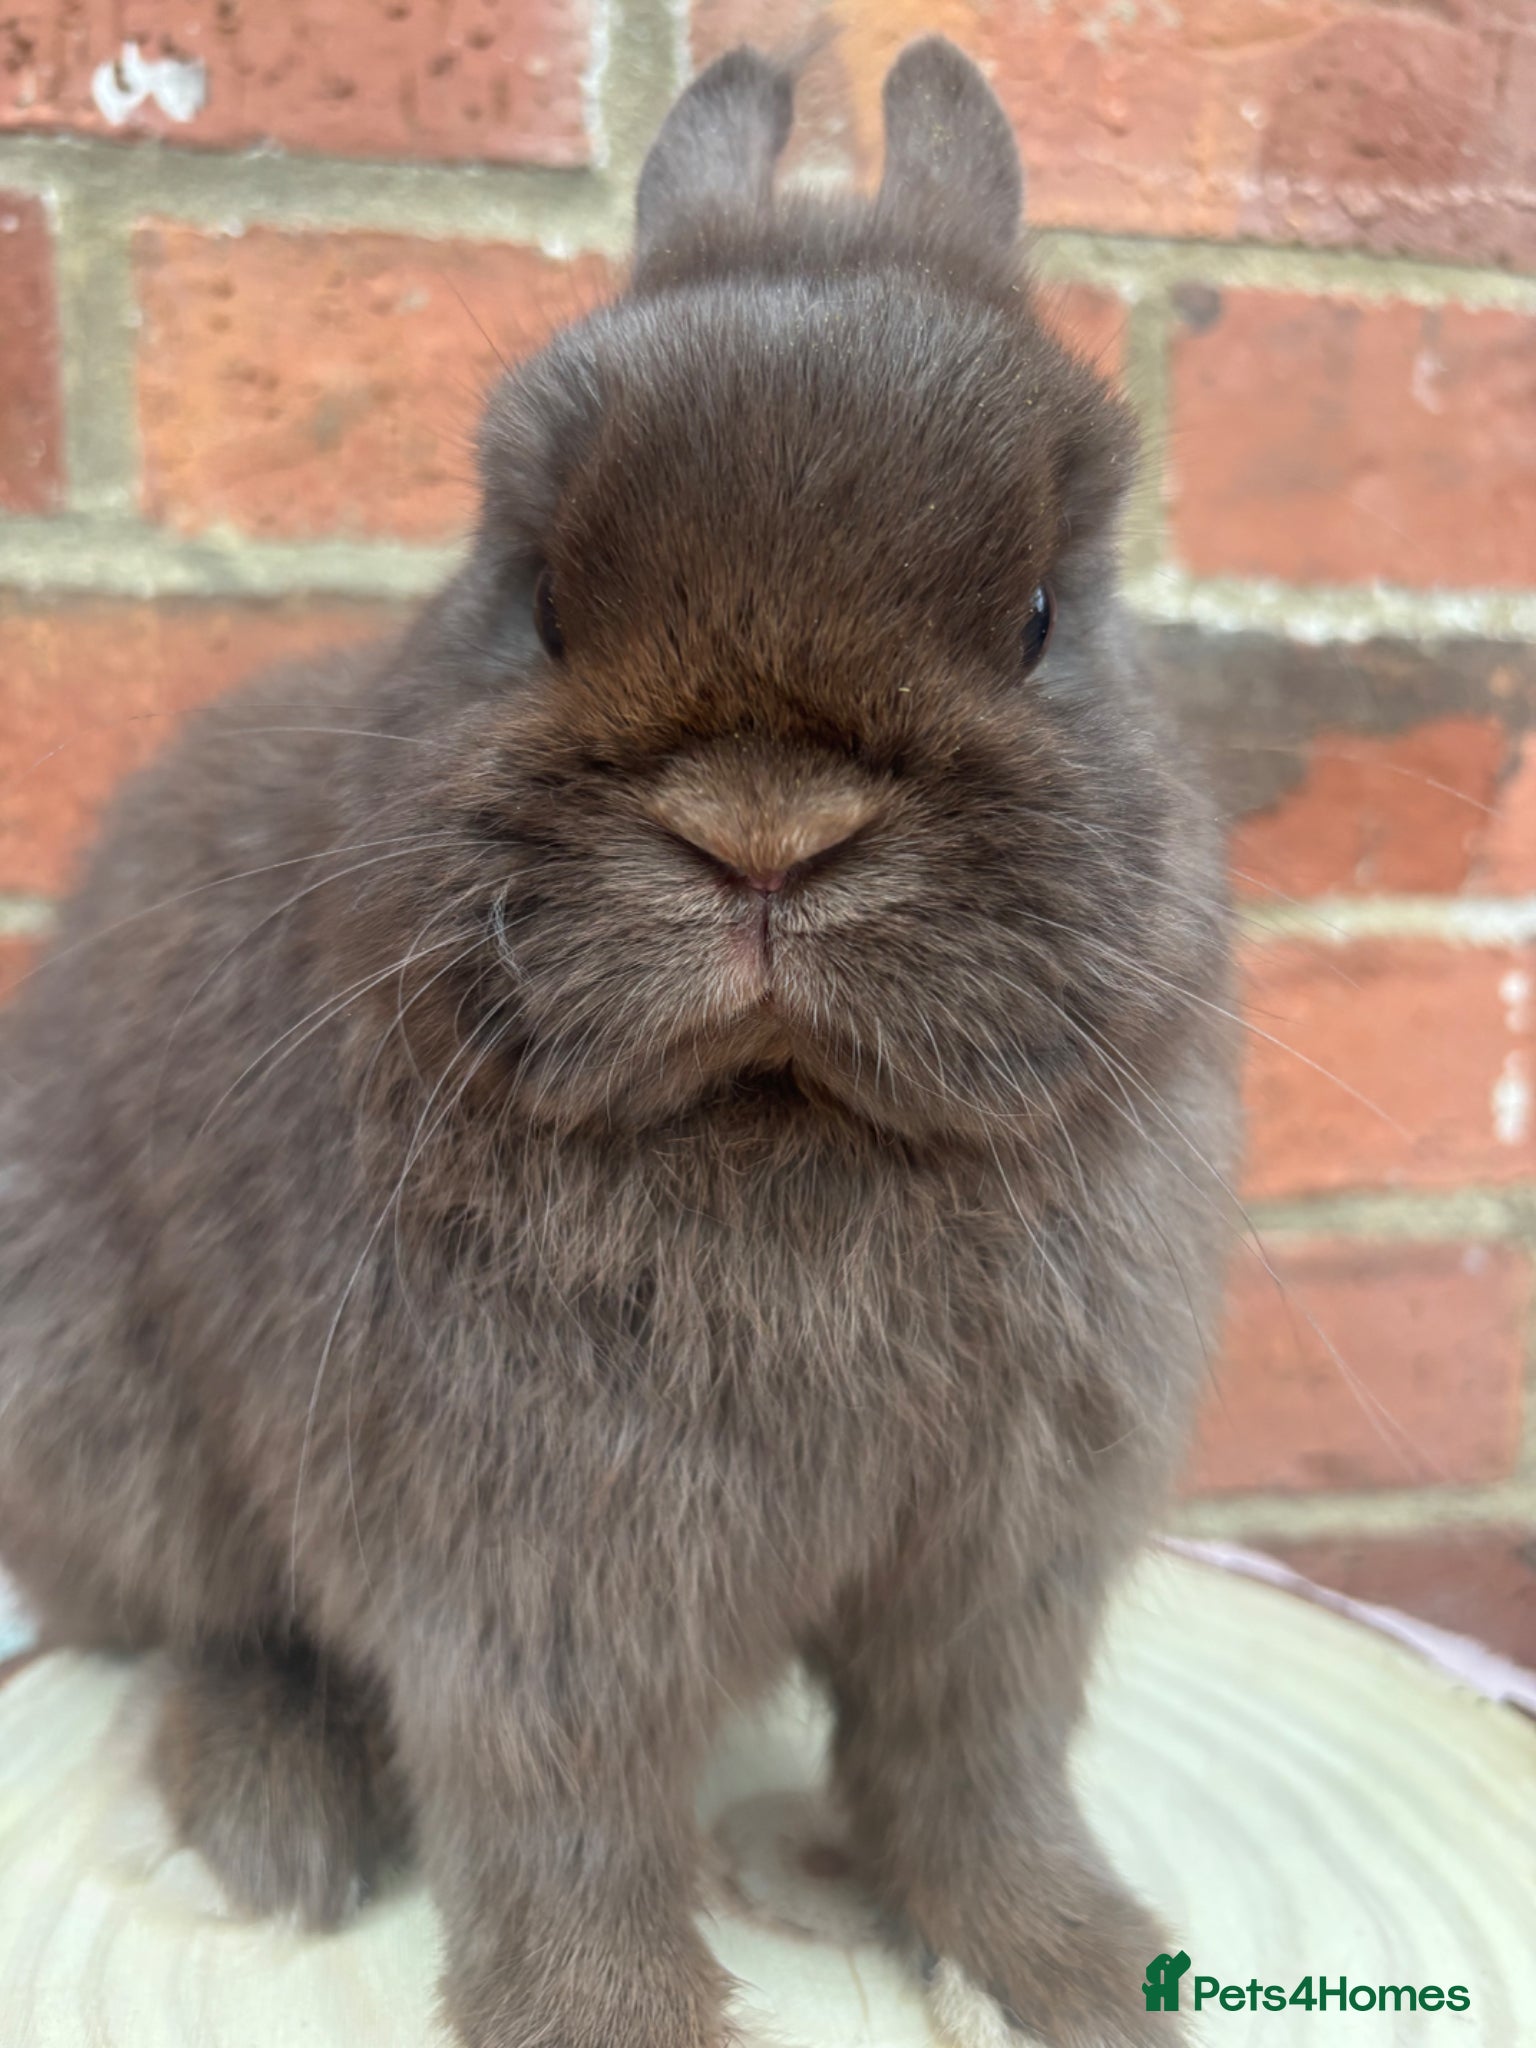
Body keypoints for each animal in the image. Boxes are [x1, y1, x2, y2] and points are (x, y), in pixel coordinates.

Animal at [0, 37, 1235, 2048]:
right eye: (542, 601)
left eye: (1044, 615)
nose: (764, 833)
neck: (777, 1120)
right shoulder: (527, 1577)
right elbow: (557, 1819)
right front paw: (608, 2017)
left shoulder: (1000, 1568)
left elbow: (974, 1778)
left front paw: (1084, 1976)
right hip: (108, 1420)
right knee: (210, 1626)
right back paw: (278, 1815)